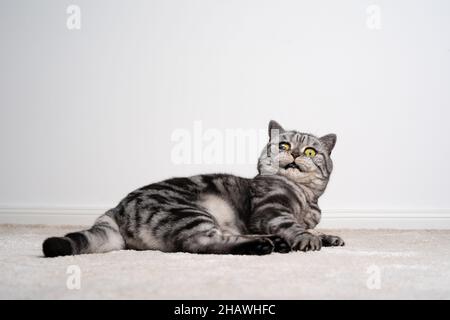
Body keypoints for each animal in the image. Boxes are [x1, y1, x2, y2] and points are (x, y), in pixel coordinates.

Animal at [42, 120, 344, 258]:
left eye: (310, 151)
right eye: (283, 145)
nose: (294, 153)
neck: (306, 198)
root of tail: (116, 208)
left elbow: (313, 228)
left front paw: (329, 237)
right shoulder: (270, 212)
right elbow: (294, 226)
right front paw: (307, 239)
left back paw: (275, 243)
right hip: (189, 212)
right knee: (200, 243)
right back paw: (263, 245)